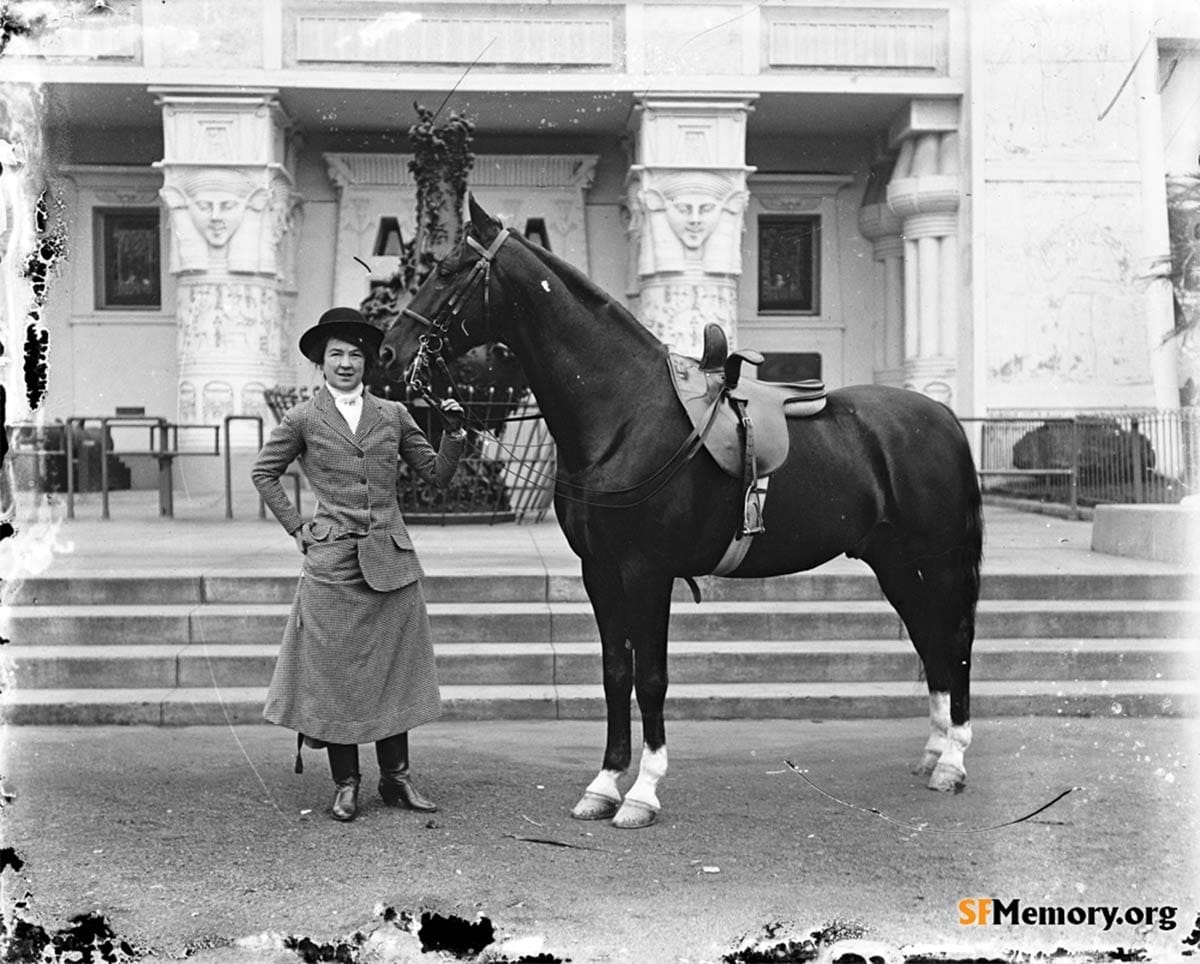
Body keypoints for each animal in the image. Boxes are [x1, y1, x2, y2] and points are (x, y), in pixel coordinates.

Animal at [380, 197, 984, 830]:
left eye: (446, 269)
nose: (389, 351)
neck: (624, 415)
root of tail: (943, 417)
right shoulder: (600, 571)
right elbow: (615, 674)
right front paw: (603, 784)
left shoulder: (648, 572)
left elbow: (650, 678)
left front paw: (642, 792)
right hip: (895, 562)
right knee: (929, 639)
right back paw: (934, 750)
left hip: (937, 560)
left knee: (956, 639)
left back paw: (953, 759)